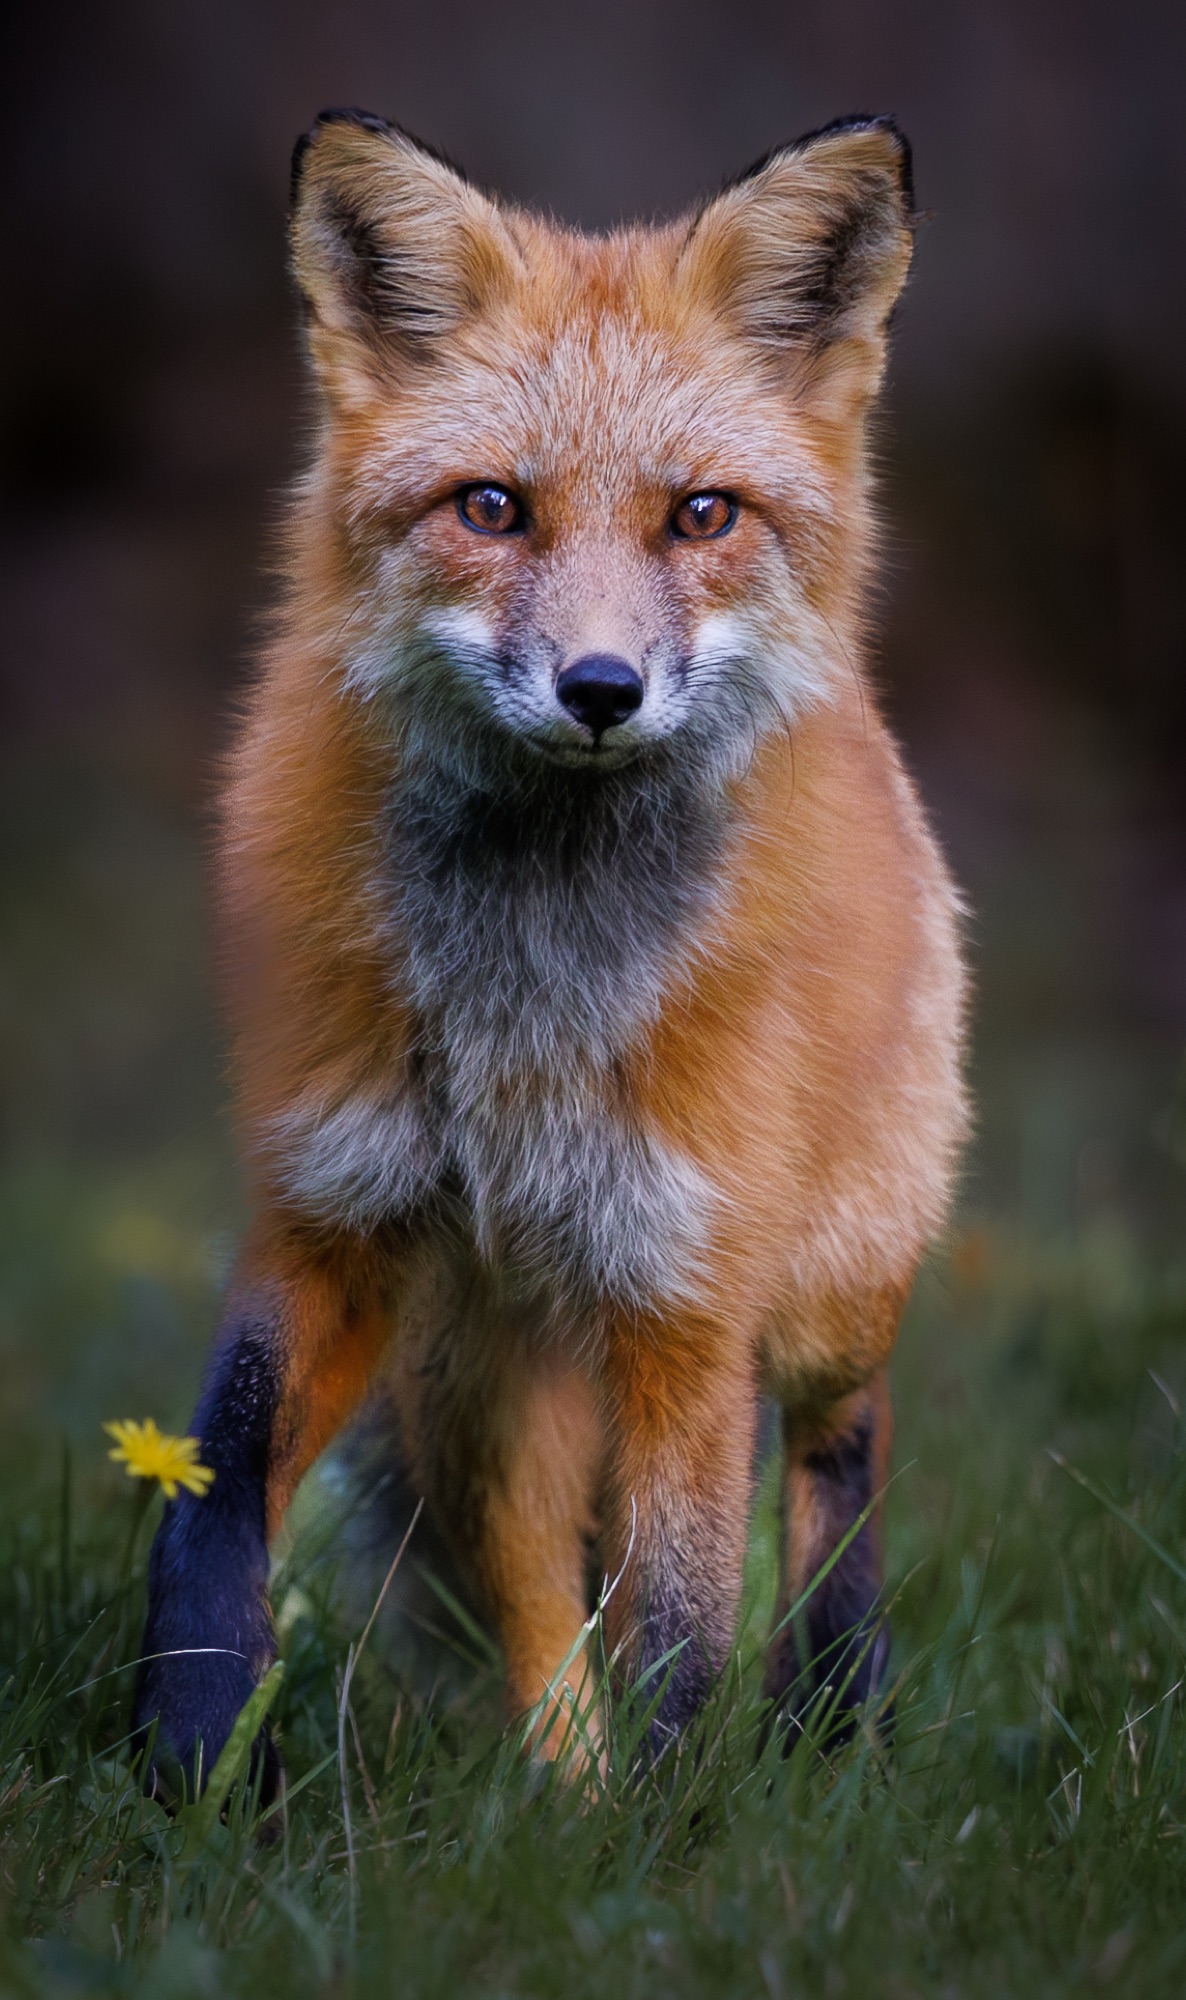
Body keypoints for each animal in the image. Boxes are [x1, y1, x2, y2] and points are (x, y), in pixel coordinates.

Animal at [135, 107, 967, 1796]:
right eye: (490, 507)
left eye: (700, 514)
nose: (599, 688)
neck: (526, 996)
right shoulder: (328, 1212)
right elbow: (214, 1486)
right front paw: (188, 1761)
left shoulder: (683, 1296)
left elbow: (682, 1627)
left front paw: (669, 1836)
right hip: (471, 1365)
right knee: (522, 1562)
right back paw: (553, 1791)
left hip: (830, 1285)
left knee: (839, 1464)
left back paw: (827, 1723)